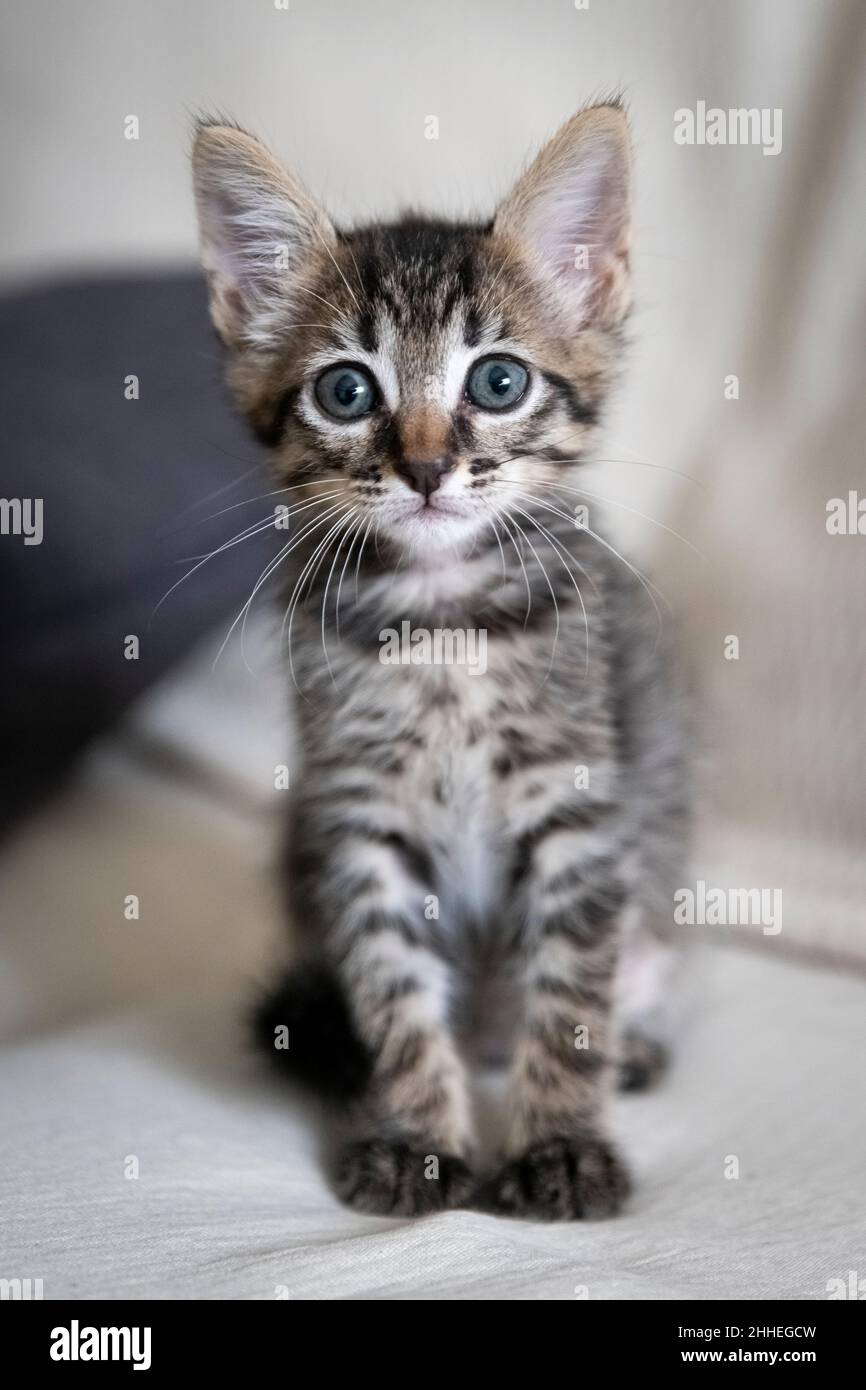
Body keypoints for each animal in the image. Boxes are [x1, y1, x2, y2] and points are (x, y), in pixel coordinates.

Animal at [193, 102, 686, 1223]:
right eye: (345, 391)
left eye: (498, 380)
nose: (423, 468)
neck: (440, 616)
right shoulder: (359, 816)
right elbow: (392, 986)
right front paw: (416, 1136)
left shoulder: (577, 804)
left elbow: (571, 992)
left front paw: (559, 1144)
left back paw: (629, 1046)